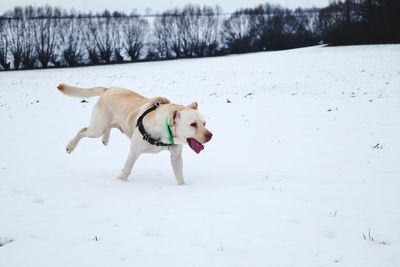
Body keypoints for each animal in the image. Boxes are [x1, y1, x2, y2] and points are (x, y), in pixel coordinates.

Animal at [57, 83, 212, 184]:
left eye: (204, 123)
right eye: (193, 124)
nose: (210, 135)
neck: (165, 131)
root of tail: (108, 89)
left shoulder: (176, 156)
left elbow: (179, 176)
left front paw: (182, 187)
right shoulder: (135, 150)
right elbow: (126, 170)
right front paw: (119, 181)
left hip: (109, 124)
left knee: (109, 127)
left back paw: (105, 139)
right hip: (97, 128)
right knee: (82, 130)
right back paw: (70, 146)